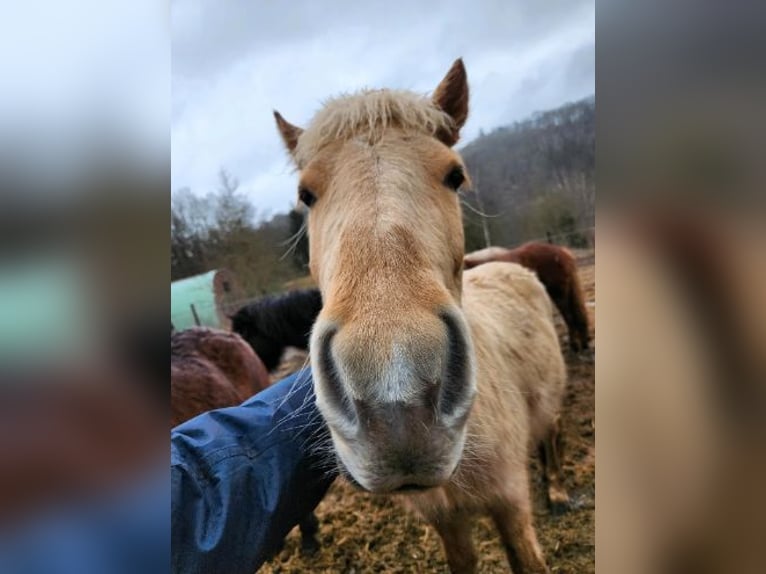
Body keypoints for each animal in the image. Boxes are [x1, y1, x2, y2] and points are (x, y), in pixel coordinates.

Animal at [276, 59, 568, 574]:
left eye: (455, 175)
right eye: (305, 194)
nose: (397, 401)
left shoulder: (510, 504)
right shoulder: (447, 521)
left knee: (549, 436)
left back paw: (555, 490)